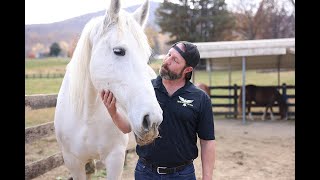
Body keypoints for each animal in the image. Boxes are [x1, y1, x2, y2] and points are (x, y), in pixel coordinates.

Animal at [53, 0, 162, 179]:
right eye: (118, 51)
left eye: (146, 57)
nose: (152, 119)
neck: (86, 117)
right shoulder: (73, 162)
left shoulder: (114, 158)